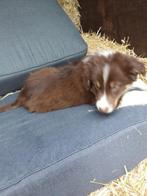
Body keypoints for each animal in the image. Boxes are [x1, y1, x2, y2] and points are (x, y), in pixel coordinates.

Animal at [0, 51, 145, 113]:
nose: (102, 111)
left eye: (115, 87)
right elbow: (131, 96)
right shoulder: (96, 99)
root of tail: (22, 95)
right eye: (96, 87)